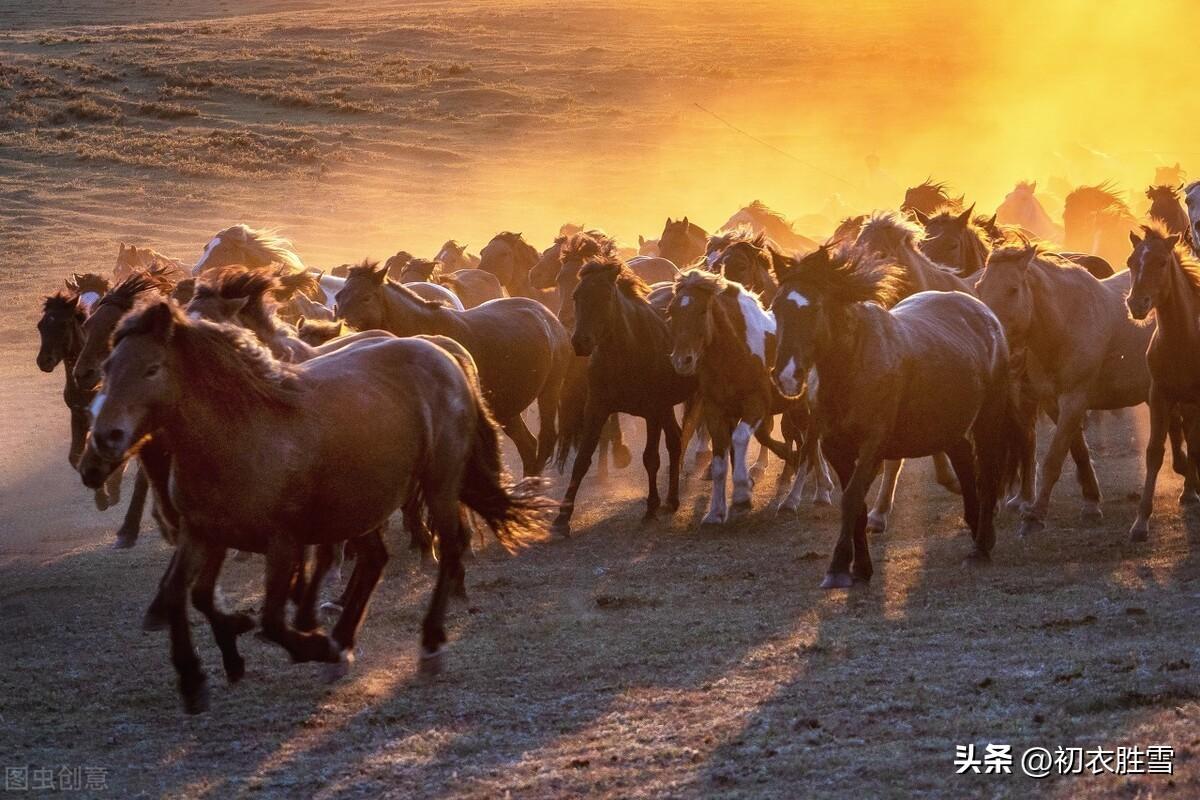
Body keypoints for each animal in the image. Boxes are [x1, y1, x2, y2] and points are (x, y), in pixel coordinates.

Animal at [75, 299, 544, 714]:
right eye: (109, 368)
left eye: (152, 369)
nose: (105, 440)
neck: (240, 436)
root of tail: (443, 352)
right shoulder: (202, 534)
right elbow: (182, 595)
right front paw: (196, 679)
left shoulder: (284, 541)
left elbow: (270, 618)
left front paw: (312, 645)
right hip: (363, 502)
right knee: (375, 559)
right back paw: (344, 640)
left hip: (439, 485)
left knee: (450, 547)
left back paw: (427, 645)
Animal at [331, 261, 568, 474]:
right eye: (339, 296)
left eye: (366, 297)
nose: (339, 329)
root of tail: (548, 316)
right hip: (507, 407)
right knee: (528, 446)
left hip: (548, 392)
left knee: (545, 440)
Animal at [549, 256, 696, 537]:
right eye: (576, 295)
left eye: (606, 295)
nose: (580, 342)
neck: (628, 349)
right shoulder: (597, 408)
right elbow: (582, 459)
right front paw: (562, 517)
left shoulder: (652, 412)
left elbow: (650, 458)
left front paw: (650, 508)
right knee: (675, 441)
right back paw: (672, 499)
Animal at [768, 247, 1022, 592]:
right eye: (776, 307)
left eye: (814, 308)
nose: (786, 375)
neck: (853, 364)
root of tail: (982, 310)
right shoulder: (836, 448)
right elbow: (856, 504)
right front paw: (860, 568)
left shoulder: (873, 445)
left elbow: (851, 499)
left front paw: (838, 568)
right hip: (947, 426)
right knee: (965, 465)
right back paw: (975, 529)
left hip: (987, 420)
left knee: (988, 474)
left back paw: (980, 548)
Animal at [974, 244, 1161, 537]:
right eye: (979, 287)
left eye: (1013, 289)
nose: (988, 333)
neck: (1066, 323)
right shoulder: (1054, 403)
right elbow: (1077, 450)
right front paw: (1091, 502)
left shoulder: (1074, 401)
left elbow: (1053, 458)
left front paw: (1035, 516)